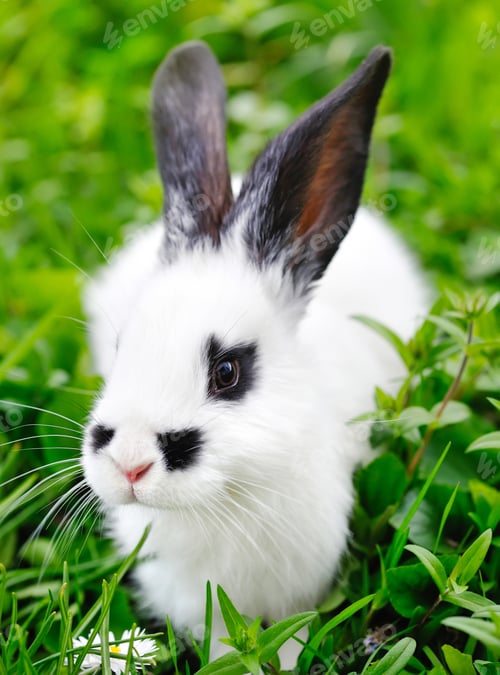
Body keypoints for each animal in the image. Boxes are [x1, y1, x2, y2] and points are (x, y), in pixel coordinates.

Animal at [81, 41, 428, 667]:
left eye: (227, 371)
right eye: (121, 348)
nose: (130, 466)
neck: (226, 498)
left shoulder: (301, 593)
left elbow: (291, 642)